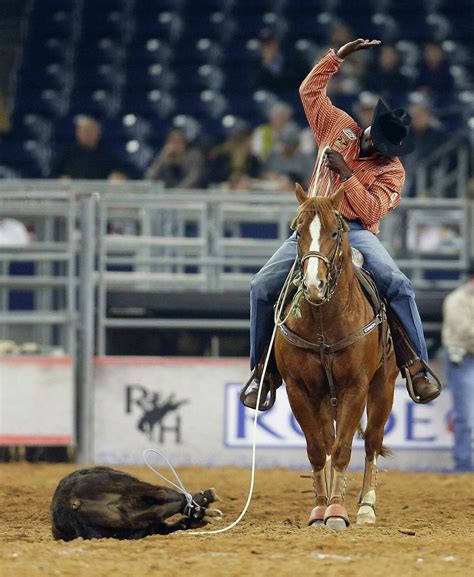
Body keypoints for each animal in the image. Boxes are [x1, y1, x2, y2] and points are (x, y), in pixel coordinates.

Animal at [274, 184, 400, 532]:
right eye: (298, 231)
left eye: (334, 231)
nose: (313, 285)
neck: (323, 322)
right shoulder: (298, 389)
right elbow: (319, 450)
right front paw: (320, 509)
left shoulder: (355, 387)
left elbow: (343, 449)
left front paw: (337, 511)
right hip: (323, 397)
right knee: (329, 442)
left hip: (383, 386)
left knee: (372, 441)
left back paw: (366, 507)